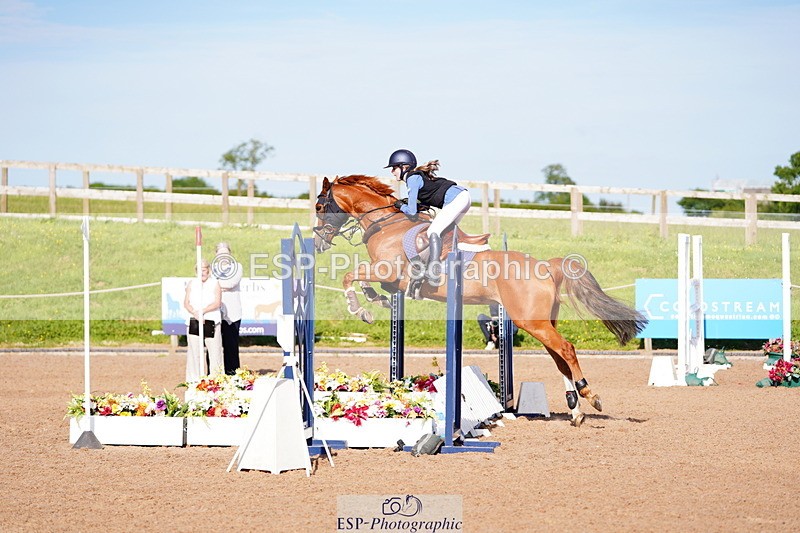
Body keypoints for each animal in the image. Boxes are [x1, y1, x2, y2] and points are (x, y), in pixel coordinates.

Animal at [313, 175, 647, 427]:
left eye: (319, 205)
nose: (317, 242)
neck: (385, 224)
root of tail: (547, 266)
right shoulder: (390, 278)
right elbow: (366, 282)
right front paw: (375, 301)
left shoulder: (389, 270)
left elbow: (349, 277)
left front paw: (360, 309)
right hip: (541, 322)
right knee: (559, 358)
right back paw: (575, 410)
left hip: (531, 321)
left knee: (566, 349)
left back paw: (589, 395)